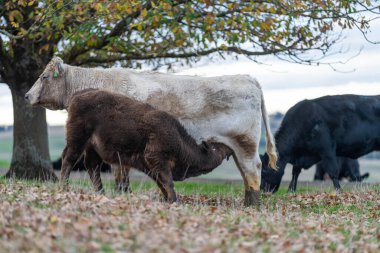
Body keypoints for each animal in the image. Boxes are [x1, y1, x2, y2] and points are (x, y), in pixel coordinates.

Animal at [26, 56, 276, 206]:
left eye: (44, 77)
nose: (27, 95)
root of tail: (247, 78)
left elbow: (121, 173)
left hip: (245, 145)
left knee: (252, 170)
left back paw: (252, 204)